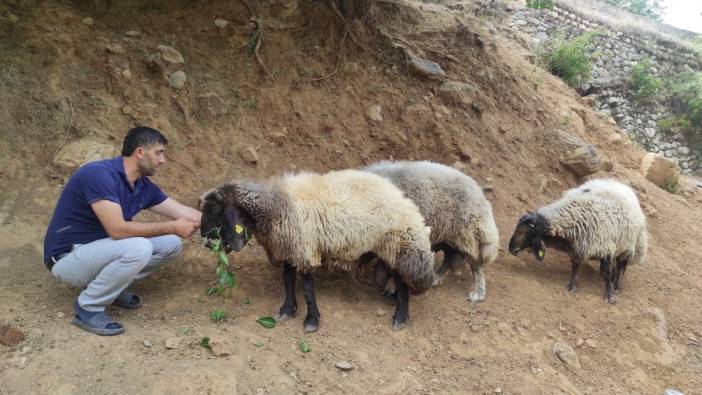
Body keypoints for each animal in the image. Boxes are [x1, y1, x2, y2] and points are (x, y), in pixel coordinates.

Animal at [198, 169, 438, 332]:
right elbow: (288, 281)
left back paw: (400, 317)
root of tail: (403, 199)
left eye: (212, 208)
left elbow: (306, 288)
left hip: (396, 245)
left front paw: (311, 320)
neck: (275, 205)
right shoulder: (290, 249)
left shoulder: (305, 249)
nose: (206, 241)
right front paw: (287, 310)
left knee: (402, 281)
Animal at [364, 160, 500, 304]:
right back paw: (437, 278)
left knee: (476, 266)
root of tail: (480, 194)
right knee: (449, 258)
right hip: (451, 238)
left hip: (469, 236)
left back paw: (478, 293)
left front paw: (390, 287)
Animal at [508, 178, 652, 304]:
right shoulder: (578, 247)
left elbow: (605, 272)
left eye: (527, 232)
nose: (511, 249)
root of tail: (620, 184)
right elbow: (575, 267)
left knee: (622, 265)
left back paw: (617, 285)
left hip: (629, 244)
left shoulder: (604, 247)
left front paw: (610, 295)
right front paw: (572, 286)